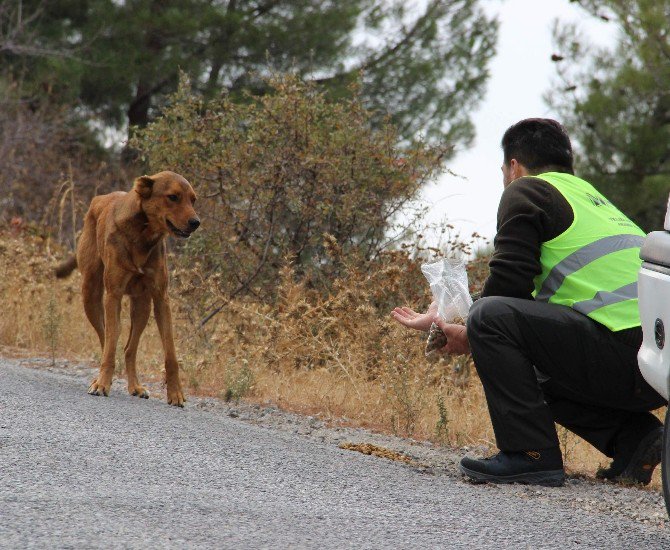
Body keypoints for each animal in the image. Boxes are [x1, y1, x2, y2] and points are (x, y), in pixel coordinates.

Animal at [55, 172, 200, 410]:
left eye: (193, 200)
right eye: (173, 197)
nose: (196, 222)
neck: (144, 234)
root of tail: (100, 198)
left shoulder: (161, 299)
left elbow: (170, 354)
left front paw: (176, 393)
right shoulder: (113, 294)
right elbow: (110, 344)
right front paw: (102, 384)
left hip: (142, 305)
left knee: (129, 349)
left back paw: (136, 386)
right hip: (91, 295)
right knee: (107, 339)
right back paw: (101, 379)